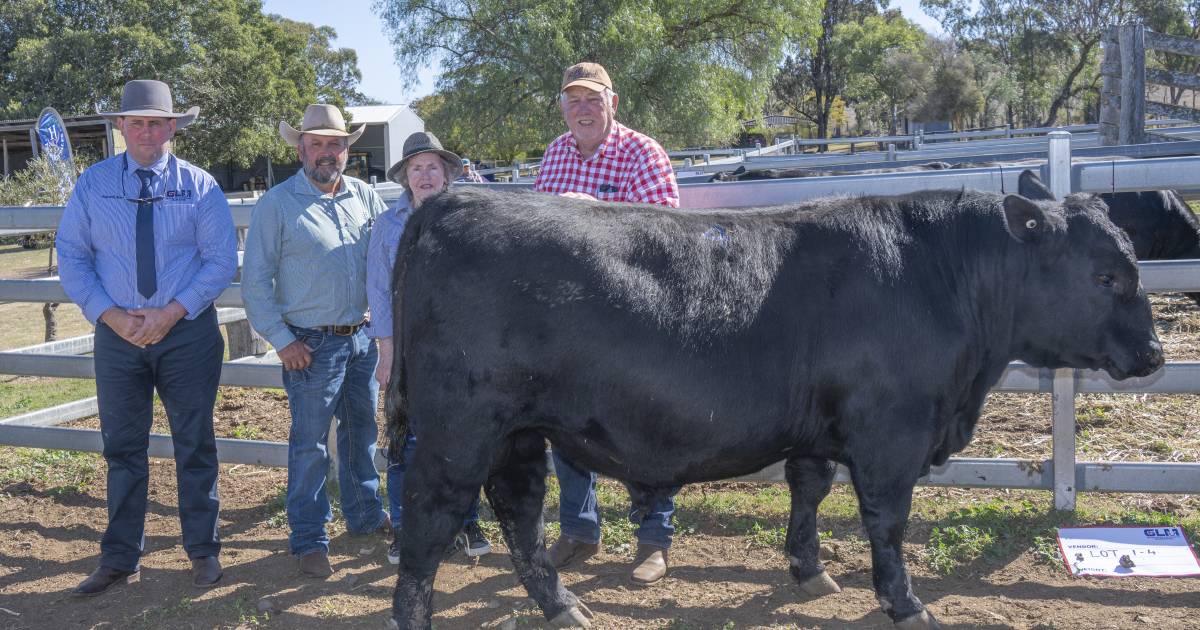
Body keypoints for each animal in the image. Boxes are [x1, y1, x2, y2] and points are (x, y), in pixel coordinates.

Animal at [381, 169, 1161, 624]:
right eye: (1105, 277)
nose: (1154, 355)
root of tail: (456, 199)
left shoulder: (820, 429)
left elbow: (807, 488)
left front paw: (809, 571)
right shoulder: (892, 434)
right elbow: (887, 523)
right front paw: (905, 603)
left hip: (516, 430)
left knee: (519, 510)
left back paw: (562, 605)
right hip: (460, 428)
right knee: (430, 514)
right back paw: (414, 613)